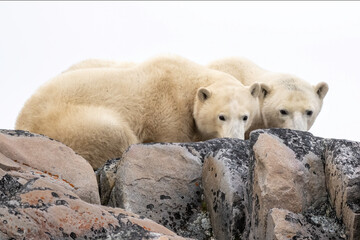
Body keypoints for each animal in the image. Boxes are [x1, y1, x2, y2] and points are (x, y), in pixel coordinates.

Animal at [15, 55, 260, 169]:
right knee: (113, 132)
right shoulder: (167, 110)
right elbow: (170, 135)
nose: (235, 139)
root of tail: (21, 120)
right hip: (68, 120)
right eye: (221, 116)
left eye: (245, 116)